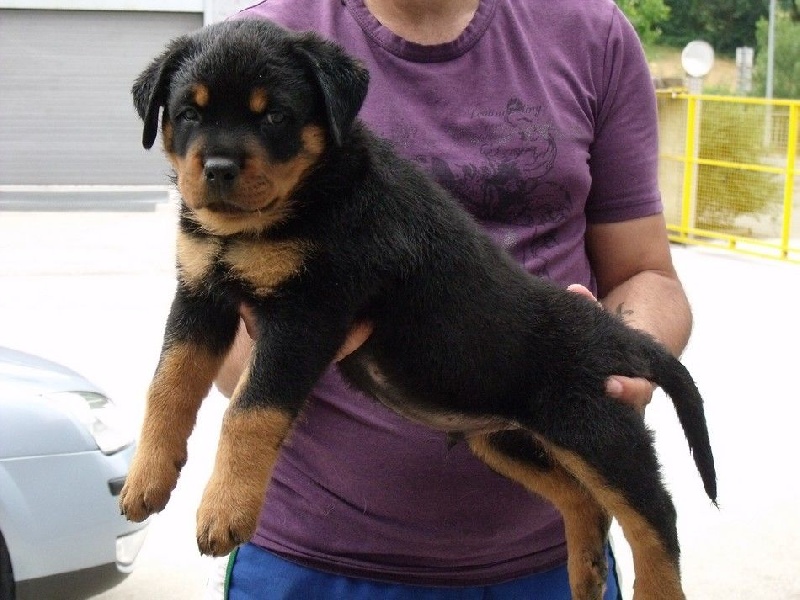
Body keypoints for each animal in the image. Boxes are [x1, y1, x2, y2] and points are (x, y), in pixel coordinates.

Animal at [119, 19, 716, 600]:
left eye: (275, 116)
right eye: (189, 113)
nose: (218, 169)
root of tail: (614, 334)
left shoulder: (308, 314)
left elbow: (250, 409)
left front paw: (224, 510)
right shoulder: (199, 295)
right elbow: (168, 383)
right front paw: (146, 479)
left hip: (594, 427)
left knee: (653, 514)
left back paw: (656, 587)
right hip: (504, 437)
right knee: (581, 496)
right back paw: (587, 568)